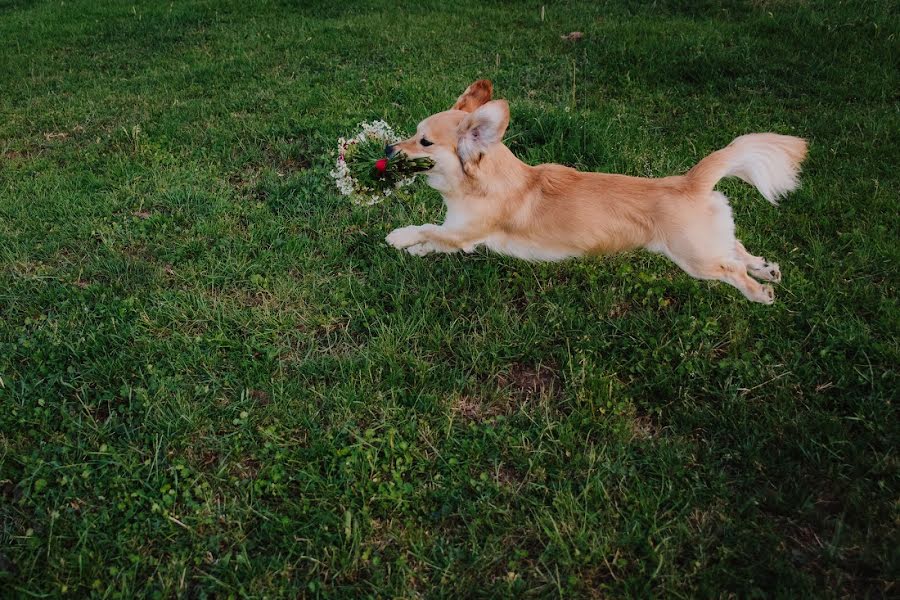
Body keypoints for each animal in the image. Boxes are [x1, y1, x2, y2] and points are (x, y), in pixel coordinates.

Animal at [384, 79, 804, 304]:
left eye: (423, 141)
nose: (388, 148)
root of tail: (690, 181)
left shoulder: (464, 232)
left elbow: (427, 229)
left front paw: (400, 237)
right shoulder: (460, 236)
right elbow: (434, 238)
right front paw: (415, 249)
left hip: (694, 259)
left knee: (731, 267)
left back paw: (758, 291)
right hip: (708, 241)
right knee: (737, 248)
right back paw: (767, 269)